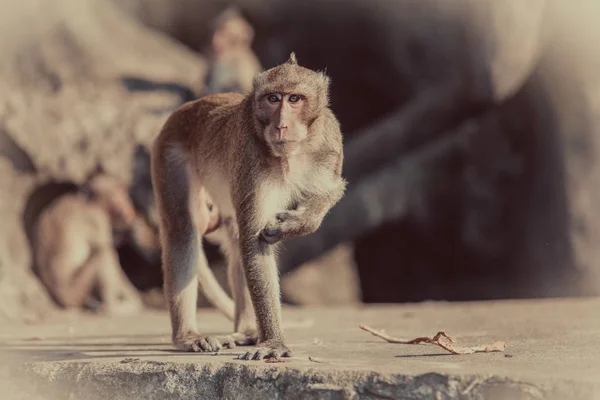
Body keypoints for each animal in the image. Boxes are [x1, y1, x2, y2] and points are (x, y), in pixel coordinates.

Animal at [33, 174, 144, 316]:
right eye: (117, 196)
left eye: (124, 195)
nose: (128, 209)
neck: (87, 202)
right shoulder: (96, 218)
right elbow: (108, 251)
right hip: (76, 290)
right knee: (103, 254)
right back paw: (111, 307)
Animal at [151, 52, 346, 360]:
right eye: (273, 98)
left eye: (294, 99)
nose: (281, 125)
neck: (291, 155)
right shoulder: (250, 156)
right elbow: (253, 241)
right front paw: (274, 342)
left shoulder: (330, 145)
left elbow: (332, 191)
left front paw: (295, 224)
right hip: (169, 152)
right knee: (183, 230)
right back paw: (188, 336)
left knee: (233, 237)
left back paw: (246, 331)